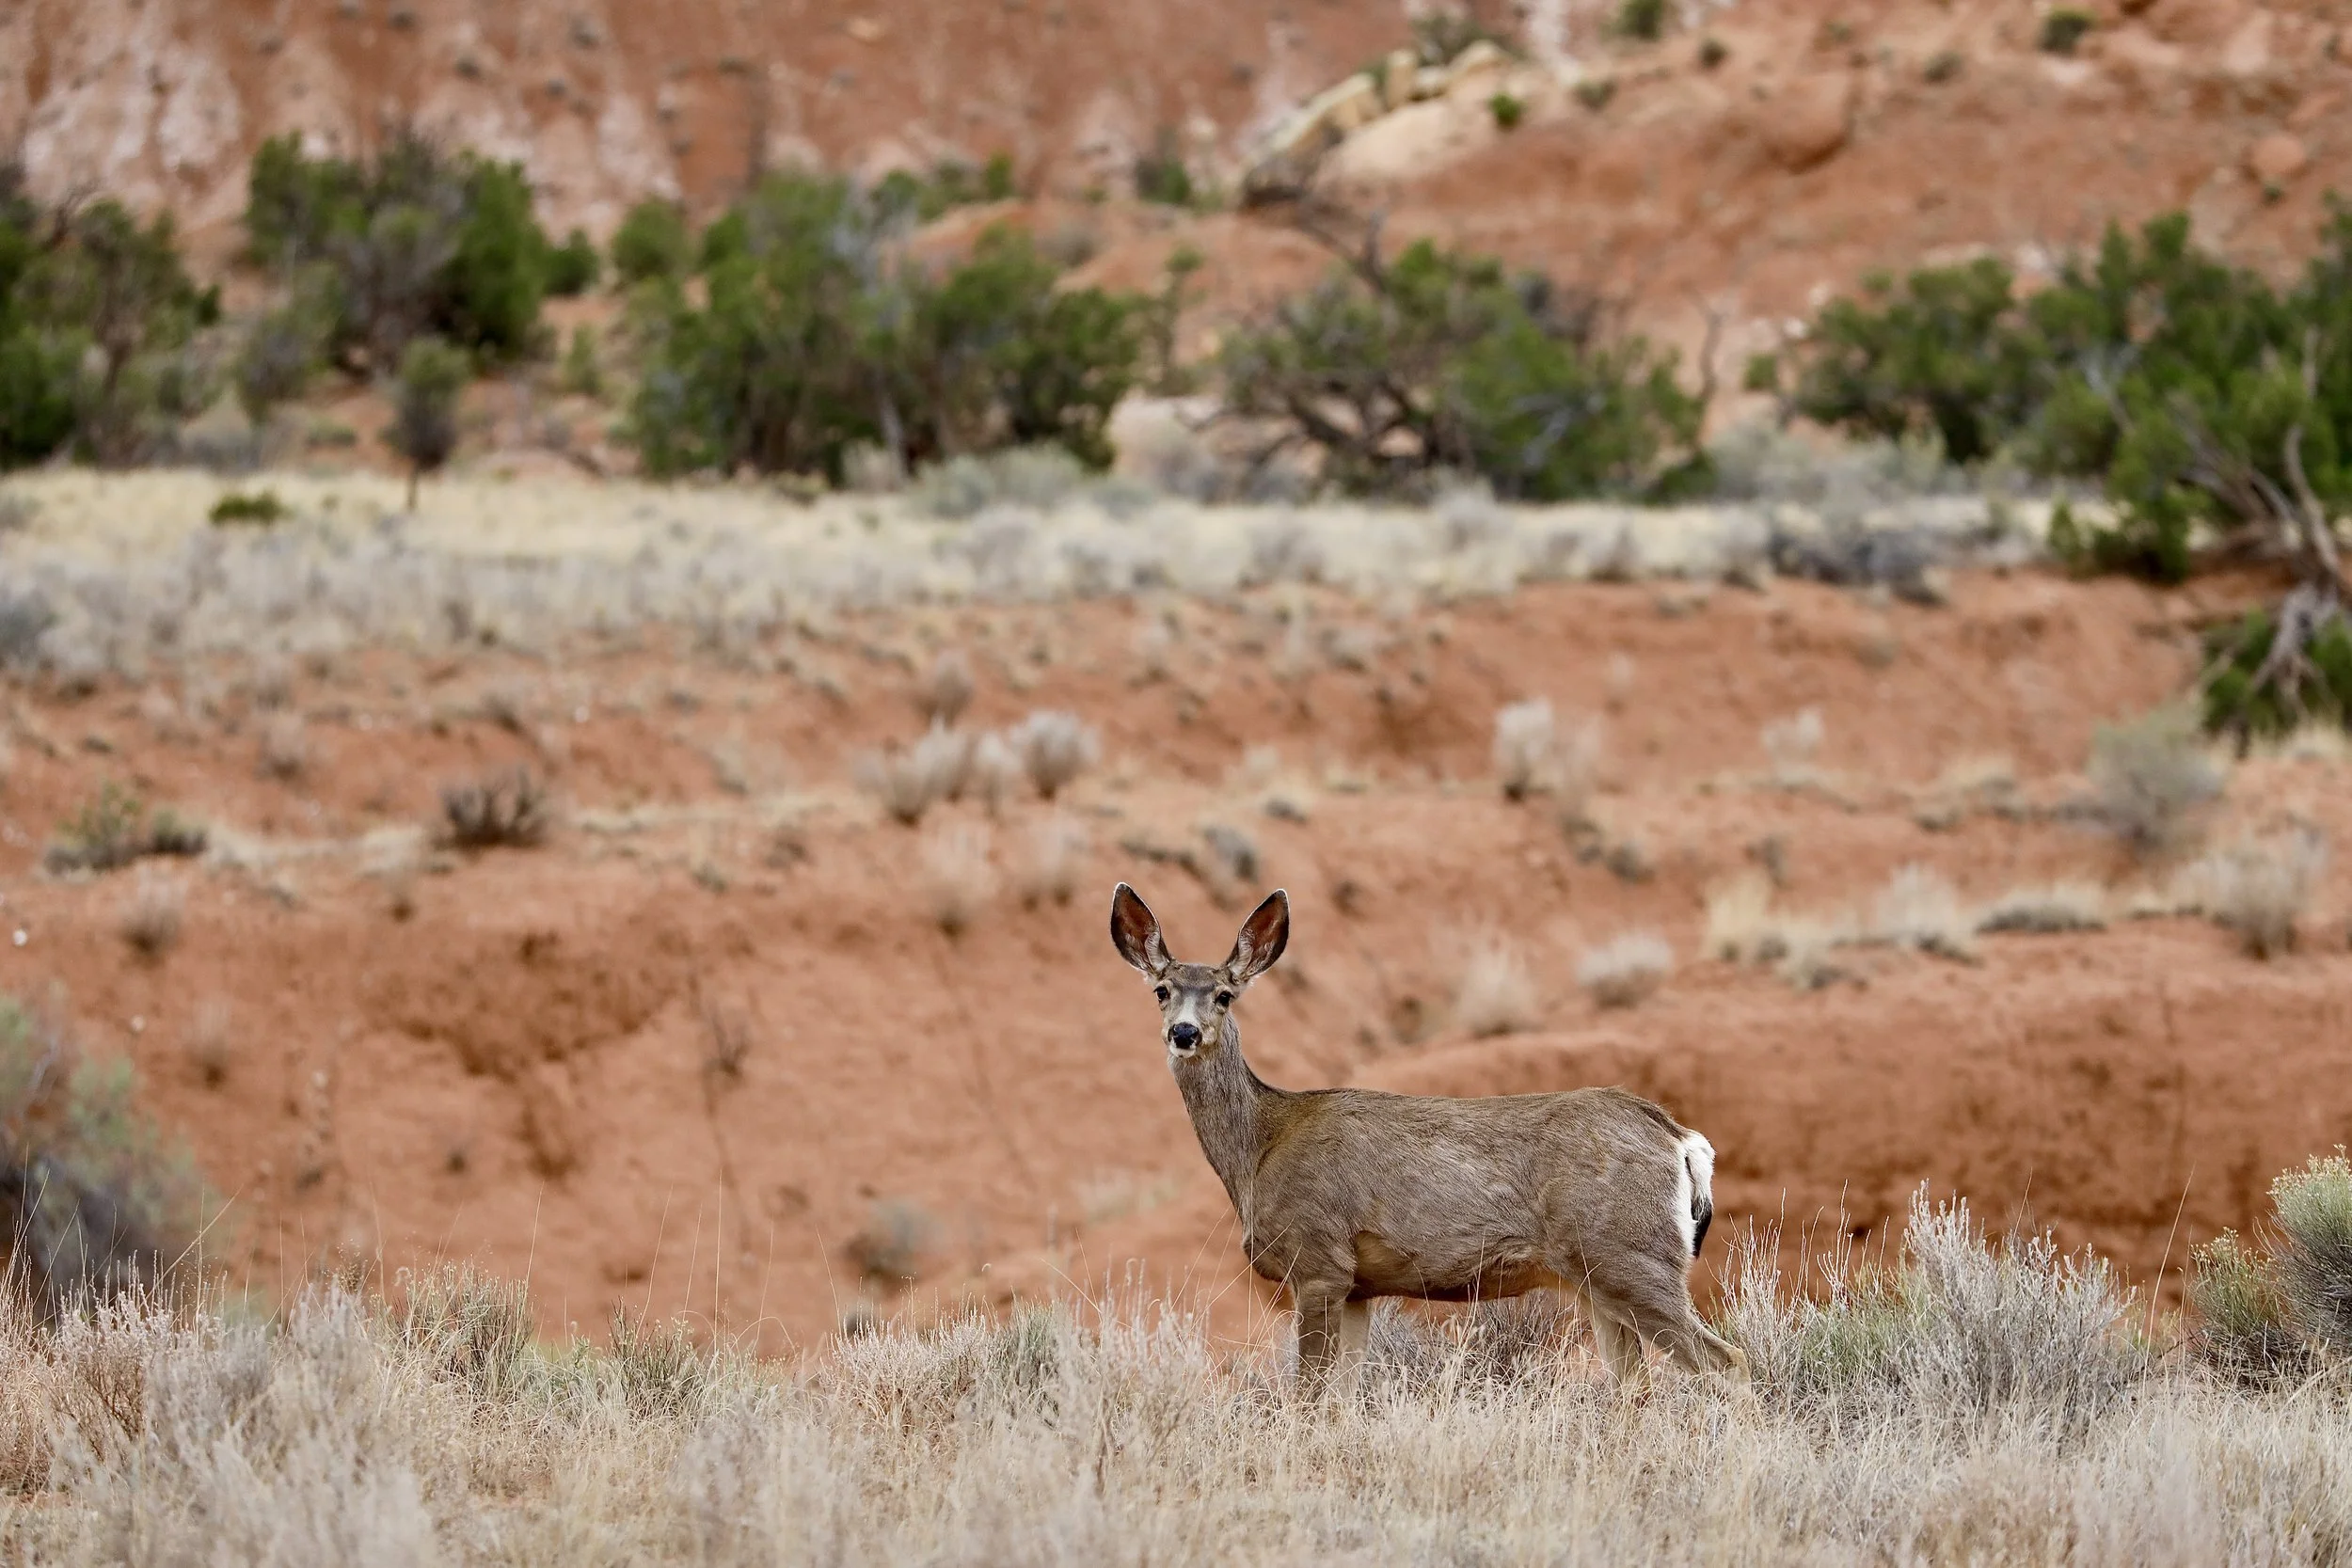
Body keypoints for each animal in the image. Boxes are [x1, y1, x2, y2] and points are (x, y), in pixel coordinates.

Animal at [1110, 882, 1747, 1396]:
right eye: (1162, 990)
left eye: (1224, 995)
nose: (1184, 1033)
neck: (1258, 1147)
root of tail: (1679, 1138)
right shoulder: (1358, 1285)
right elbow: (1342, 1400)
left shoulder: (1317, 1260)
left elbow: (1308, 1397)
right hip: (1602, 1277)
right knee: (1634, 1382)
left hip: (1631, 1257)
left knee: (1727, 1361)